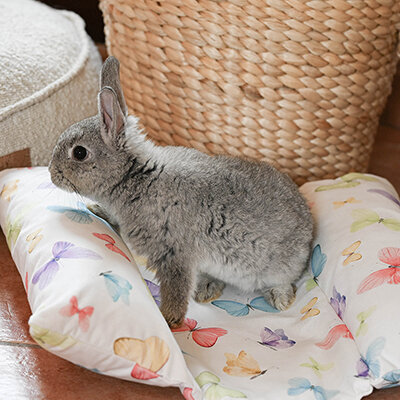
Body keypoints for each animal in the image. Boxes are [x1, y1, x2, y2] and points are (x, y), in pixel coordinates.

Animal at [49, 56, 314, 328]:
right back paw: (207, 289)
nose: (51, 173)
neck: (134, 176)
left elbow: (176, 289)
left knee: (282, 281)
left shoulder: (173, 253)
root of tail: (309, 226)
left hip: (277, 267)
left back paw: (280, 299)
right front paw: (96, 209)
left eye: (79, 153)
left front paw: (169, 319)